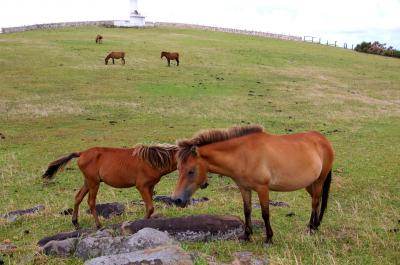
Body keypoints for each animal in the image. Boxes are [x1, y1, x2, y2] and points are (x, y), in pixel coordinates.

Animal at [41, 143, 177, 228]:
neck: (154, 160)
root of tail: (82, 153)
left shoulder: (150, 186)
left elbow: (150, 206)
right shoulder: (142, 186)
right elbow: (150, 207)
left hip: (88, 182)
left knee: (78, 197)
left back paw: (75, 223)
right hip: (94, 183)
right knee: (91, 202)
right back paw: (98, 225)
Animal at [172, 125, 334, 245]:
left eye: (191, 171)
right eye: (178, 168)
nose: (177, 200)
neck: (243, 155)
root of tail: (323, 140)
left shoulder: (262, 188)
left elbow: (265, 213)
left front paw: (269, 238)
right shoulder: (244, 188)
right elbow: (247, 210)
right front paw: (246, 235)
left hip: (319, 181)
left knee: (315, 202)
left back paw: (312, 228)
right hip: (310, 184)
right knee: (317, 201)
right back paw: (315, 225)